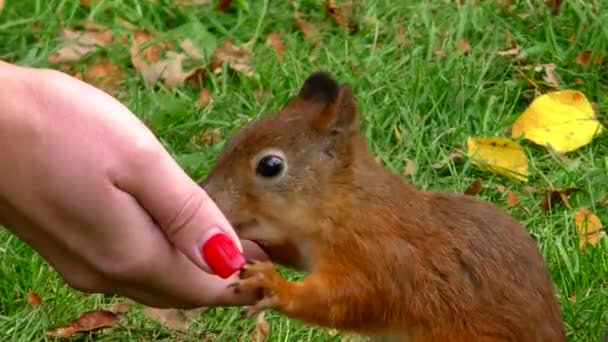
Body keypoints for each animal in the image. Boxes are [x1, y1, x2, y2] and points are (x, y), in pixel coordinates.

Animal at [202, 72, 568, 342]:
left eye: (270, 166)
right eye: (237, 137)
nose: (208, 194)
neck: (348, 205)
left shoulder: (379, 259)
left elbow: (343, 300)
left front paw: (274, 285)